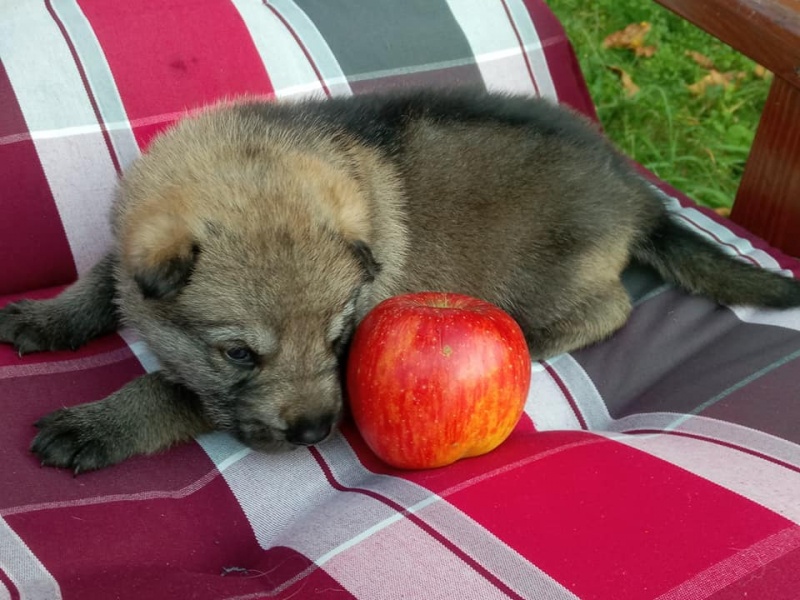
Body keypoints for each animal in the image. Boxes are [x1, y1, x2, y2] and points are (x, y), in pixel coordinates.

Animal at [4, 90, 800, 474]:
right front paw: (48, 319)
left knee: (612, 306)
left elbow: (173, 390)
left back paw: (540, 332)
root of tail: (635, 189)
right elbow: (104, 277)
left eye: (339, 340)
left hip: (563, 275)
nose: (316, 432)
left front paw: (97, 424)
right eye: (238, 353)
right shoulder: (133, 248)